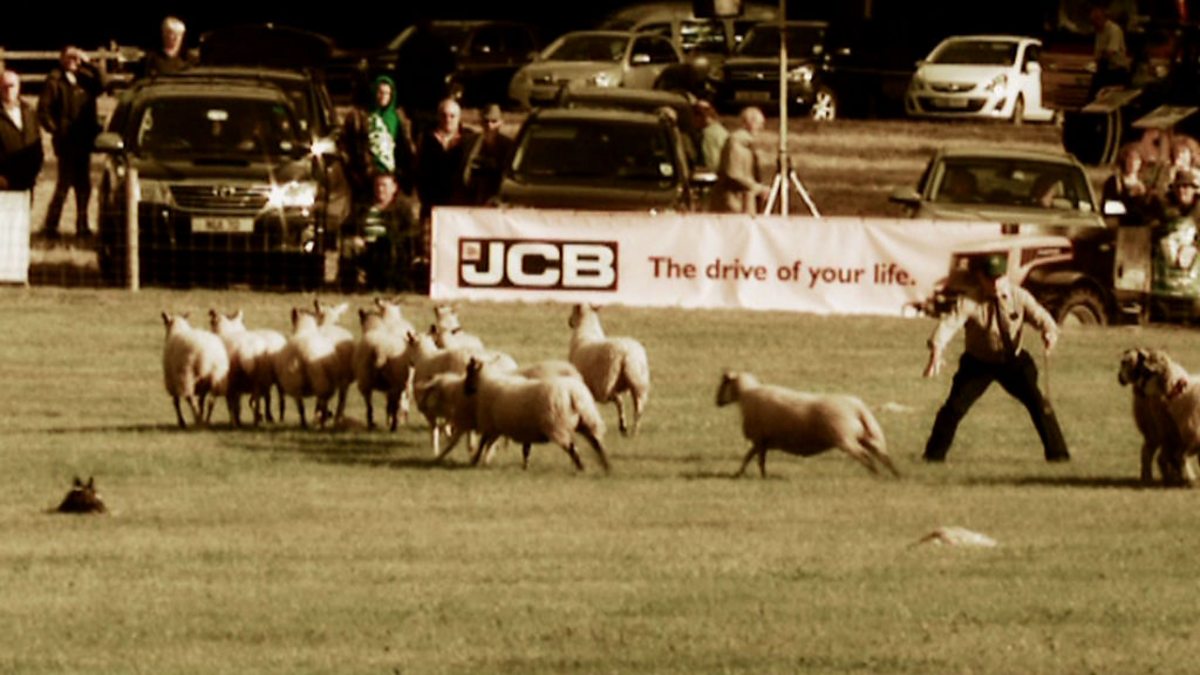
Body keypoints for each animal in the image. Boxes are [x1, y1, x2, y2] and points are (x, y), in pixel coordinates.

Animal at [461, 357, 610, 472]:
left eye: (469, 370)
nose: (465, 390)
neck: (487, 381)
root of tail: (573, 394)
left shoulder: (492, 425)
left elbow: (483, 443)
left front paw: (474, 460)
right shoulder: (526, 429)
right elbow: (526, 450)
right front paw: (525, 467)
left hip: (557, 424)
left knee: (572, 447)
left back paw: (581, 467)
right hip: (587, 419)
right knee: (596, 443)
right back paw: (607, 466)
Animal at [567, 303, 651, 436]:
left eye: (574, 308)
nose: (569, 321)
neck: (587, 328)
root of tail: (628, 354)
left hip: (606, 382)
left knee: (619, 400)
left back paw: (623, 426)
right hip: (639, 382)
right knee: (638, 408)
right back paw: (634, 432)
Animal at [715, 370, 899, 478]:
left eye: (723, 383)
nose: (716, 402)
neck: (746, 395)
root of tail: (858, 408)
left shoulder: (759, 439)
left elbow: (754, 458)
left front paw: (754, 475)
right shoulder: (763, 441)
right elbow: (753, 458)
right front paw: (746, 474)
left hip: (844, 438)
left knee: (865, 455)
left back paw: (875, 474)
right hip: (869, 435)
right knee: (884, 455)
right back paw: (895, 475)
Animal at [1118, 348, 1187, 486]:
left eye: (1125, 362)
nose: (1120, 378)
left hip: (1153, 430)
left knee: (1147, 452)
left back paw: (1148, 478)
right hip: (1163, 429)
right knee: (1162, 455)